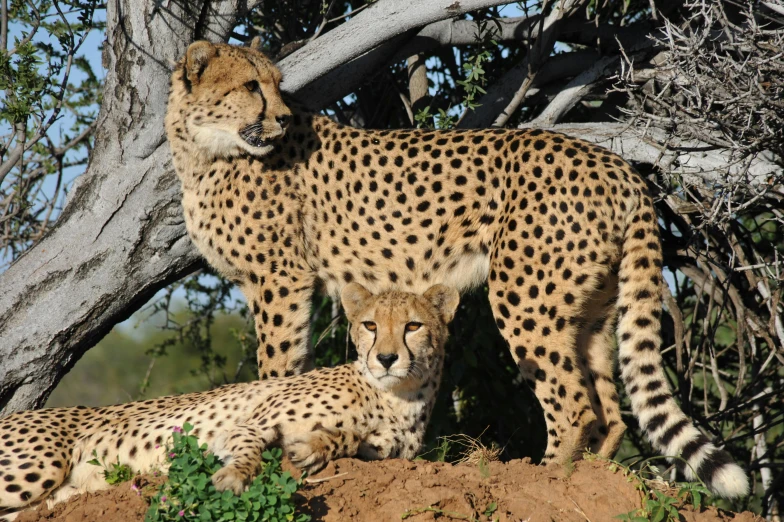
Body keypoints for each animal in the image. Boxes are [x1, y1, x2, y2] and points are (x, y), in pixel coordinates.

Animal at [0, 284, 460, 516]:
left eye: (413, 326)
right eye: (370, 325)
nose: (386, 358)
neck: (395, 398)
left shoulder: (385, 451)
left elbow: (347, 439)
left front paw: (313, 447)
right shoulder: (249, 422)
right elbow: (250, 449)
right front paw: (234, 477)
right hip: (38, 466)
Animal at [164, 39, 748, 496]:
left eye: (275, 86)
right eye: (250, 85)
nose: (282, 118)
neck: (204, 150)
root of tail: (616, 165)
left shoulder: (280, 279)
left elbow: (279, 366)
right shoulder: (273, 282)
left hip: (524, 296)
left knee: (575, 402)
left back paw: (545, 474)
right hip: (591, 310)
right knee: (610, 409)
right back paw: (593, 479)